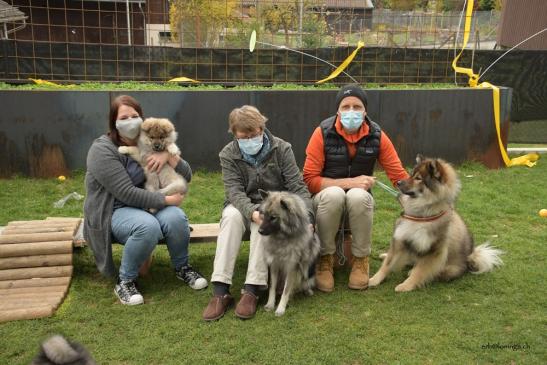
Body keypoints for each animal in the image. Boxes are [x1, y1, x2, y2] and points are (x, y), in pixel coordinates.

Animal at [370, 155, 504, 292]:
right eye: (411, 174)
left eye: (418, 178)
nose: (398, 183)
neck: (423, 214)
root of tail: (469, 258)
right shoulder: (400, 240)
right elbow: (387, 264)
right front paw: (373, 280)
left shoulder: (432, 250)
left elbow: (419, 271)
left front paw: (406, 285)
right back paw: (385, 255)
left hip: (448, 268)